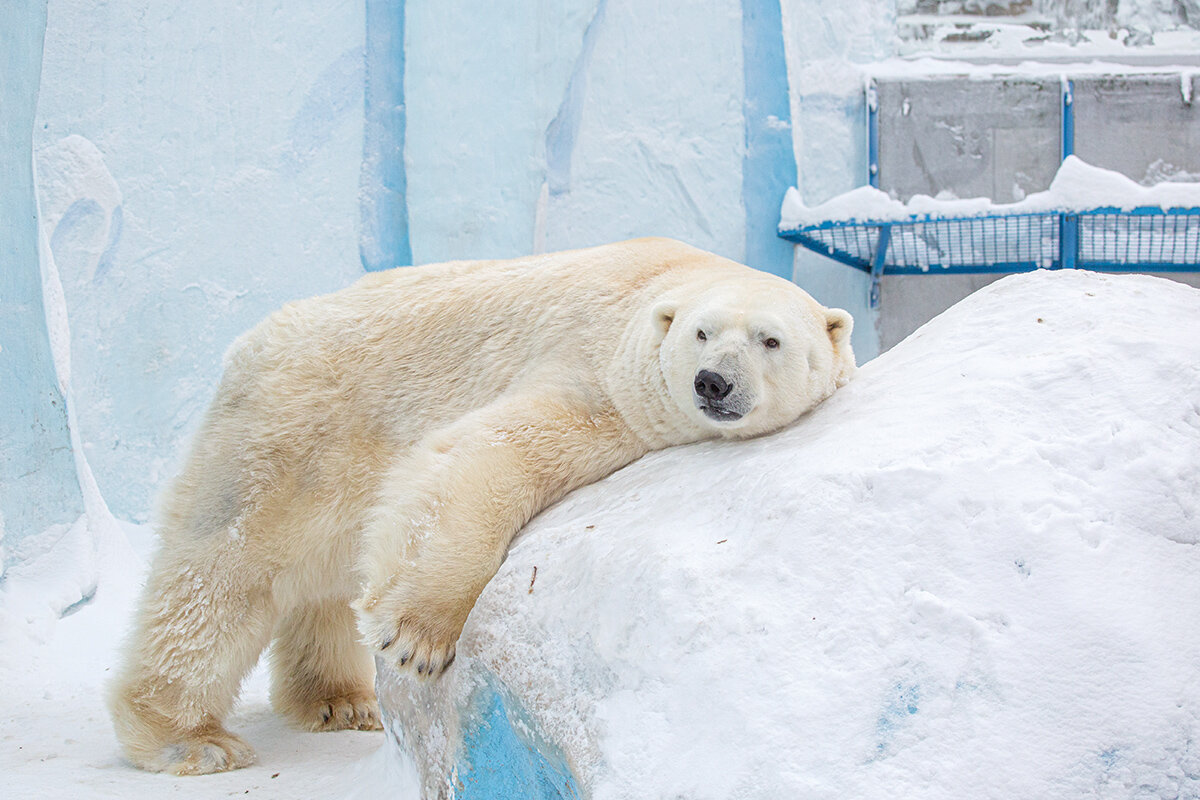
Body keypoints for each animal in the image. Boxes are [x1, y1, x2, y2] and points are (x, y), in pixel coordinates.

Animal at [103, 237, 854, 777]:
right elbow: (485, 453)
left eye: (771, 340)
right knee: (222, 570)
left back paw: (338, 700)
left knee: (317, 580)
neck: (663, 279)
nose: (712, 382)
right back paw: (192, 740)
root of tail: (254, 340)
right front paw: (416, 638)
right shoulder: (598, 371)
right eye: (701, 333)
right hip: (293, 432)